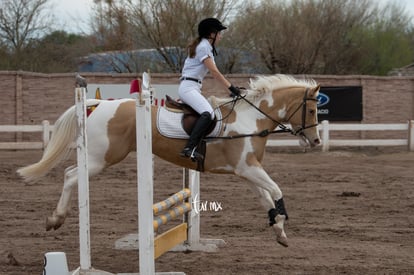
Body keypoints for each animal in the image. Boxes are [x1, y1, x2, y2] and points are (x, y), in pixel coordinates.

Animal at [17, 74, 320, 248]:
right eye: (313, 110)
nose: (316, 141)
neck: (251, 120)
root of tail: (100, 104)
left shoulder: (247, 171)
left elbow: (266, 197)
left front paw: (279, 230)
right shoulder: (248, 168)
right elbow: (276, 190)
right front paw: (282, 221)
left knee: (70, 173)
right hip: (101, 158)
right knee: (71, 175)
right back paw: (55, 219)